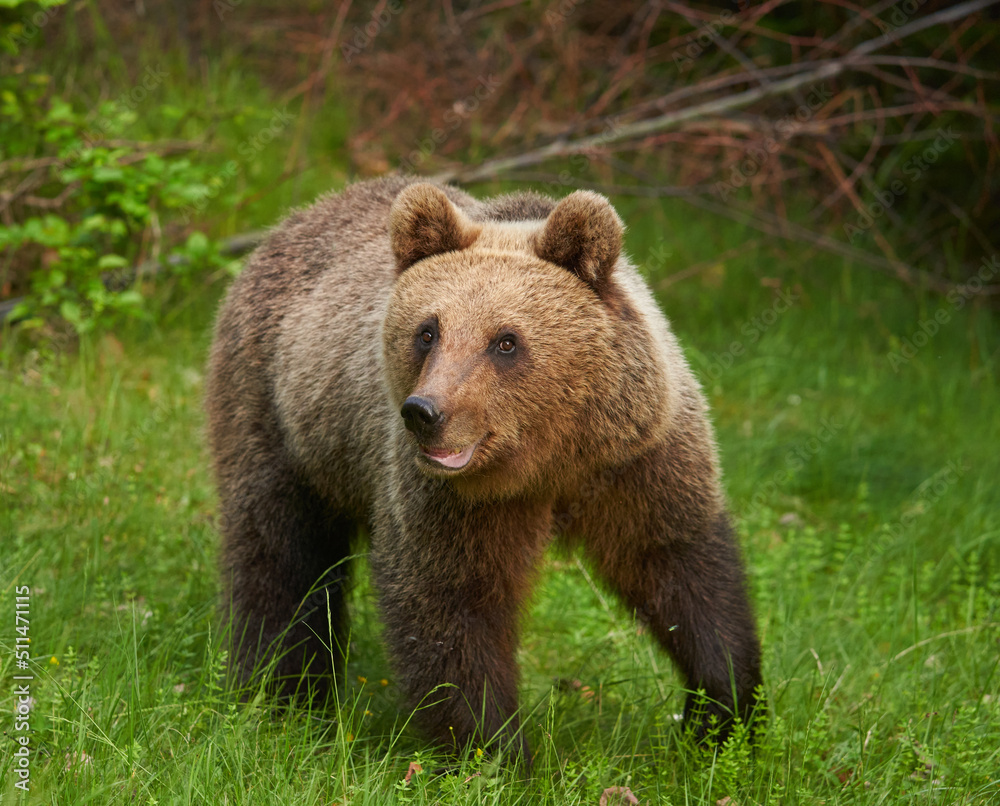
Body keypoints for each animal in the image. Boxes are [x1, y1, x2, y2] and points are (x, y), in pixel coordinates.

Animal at [207, 177, 760, 764]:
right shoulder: (450, 501)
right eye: (428, 331)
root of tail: (293, 220)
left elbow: (684, 568)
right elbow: (450, 607)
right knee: (279, 554)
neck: (548, 463)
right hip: (277, 417)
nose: (424, 412)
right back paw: (279, 694)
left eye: (506, 340)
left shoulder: (637, 462)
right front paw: (494, 752)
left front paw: (723, 718)